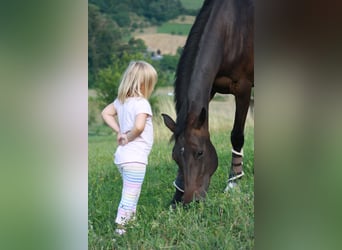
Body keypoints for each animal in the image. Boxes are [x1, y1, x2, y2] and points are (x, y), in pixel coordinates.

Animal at [162, 0, 252, 204]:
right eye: (175, 157)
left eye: (200, 153)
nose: (190, 200)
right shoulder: (210, 88)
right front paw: (176, 195)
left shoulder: (243, 87)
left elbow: (237, 135)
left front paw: (233, 183)